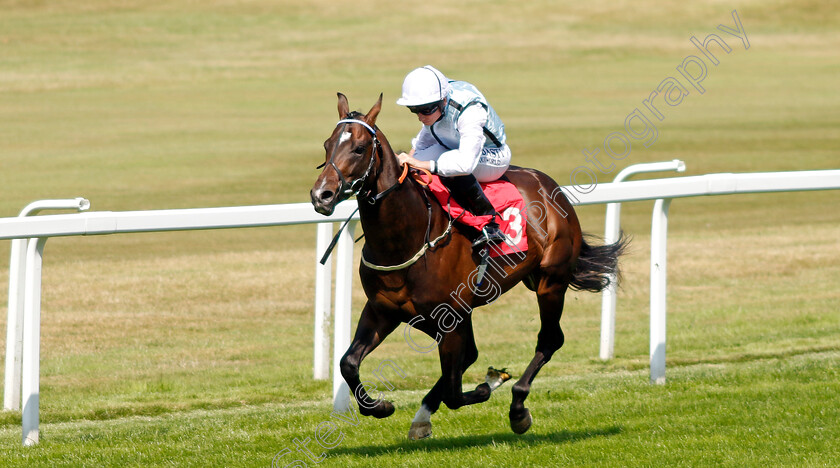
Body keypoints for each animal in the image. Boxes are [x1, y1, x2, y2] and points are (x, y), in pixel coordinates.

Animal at [308, 94, 624, 438]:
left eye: (360, 147)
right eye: (326, 145)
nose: (321, 194)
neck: (407, 237)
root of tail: (548, 185)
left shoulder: (449, 318)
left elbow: (454, 392)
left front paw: (490, 385)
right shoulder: (385, 310)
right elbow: (349, 363)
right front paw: (380, 406)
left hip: (550, 282)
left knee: (549, 339)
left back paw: (517, 407)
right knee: (471, 355)